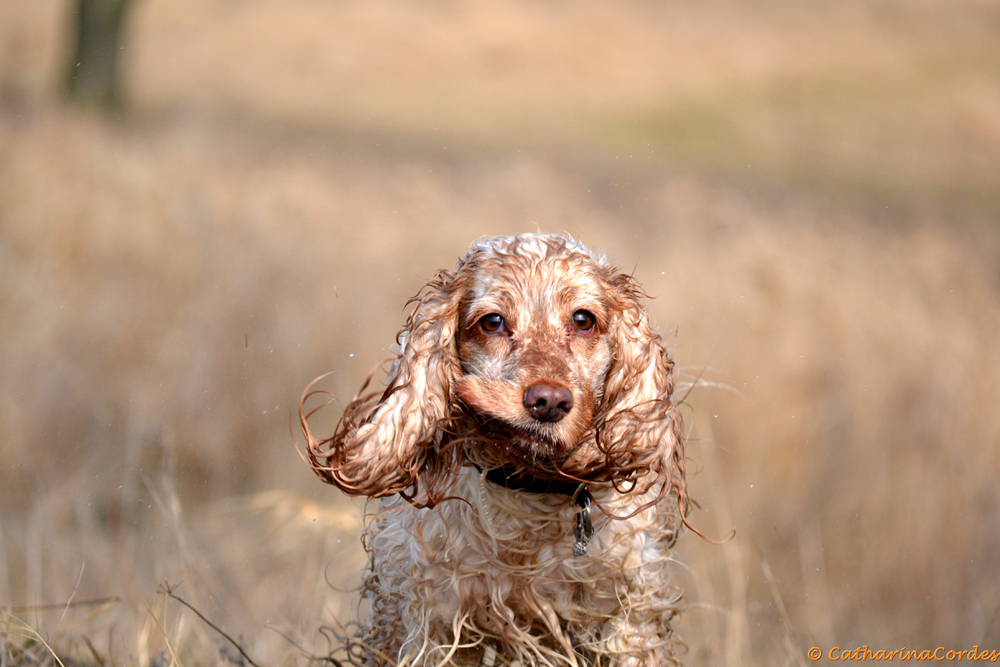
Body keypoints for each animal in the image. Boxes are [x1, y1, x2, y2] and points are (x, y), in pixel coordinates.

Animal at [298, 232, 688, 664]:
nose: (549, 401)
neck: (528, 495)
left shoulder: (629, 622)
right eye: (493, 322)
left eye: (583, 320)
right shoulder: (431, 622)